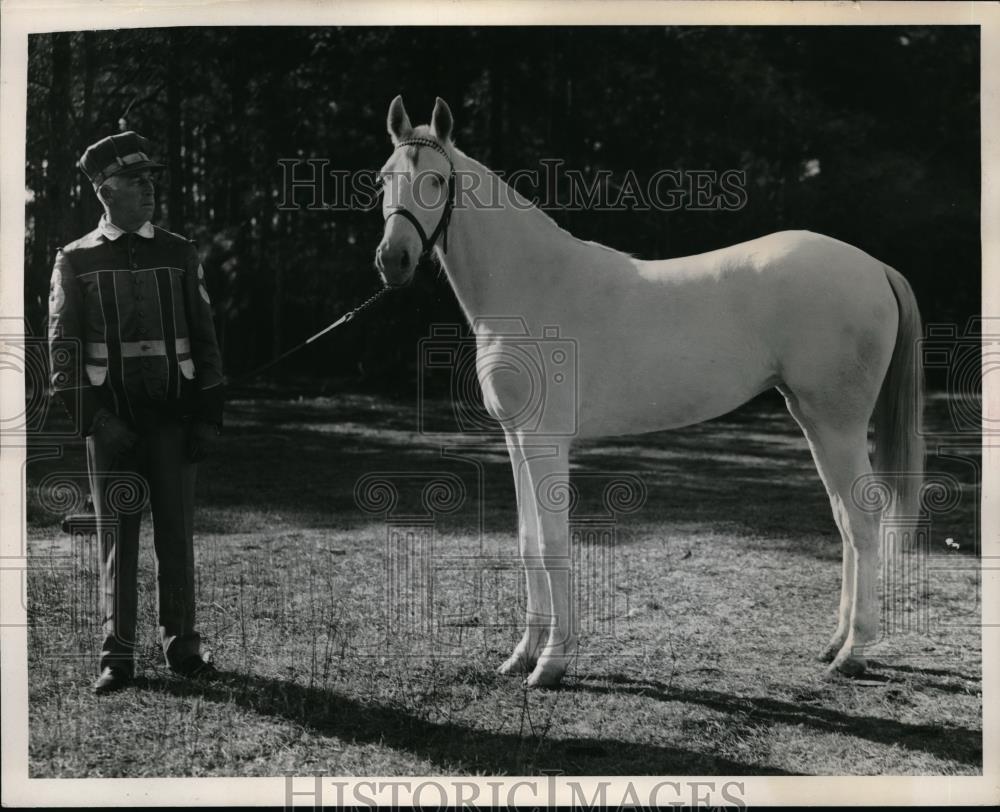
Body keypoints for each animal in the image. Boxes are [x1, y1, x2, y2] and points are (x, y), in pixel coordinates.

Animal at [374, 98, 920, 688]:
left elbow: (553, 543)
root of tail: (874, 267)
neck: (534, 285)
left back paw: (854, 653)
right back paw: (835, 643)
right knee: (845, 520)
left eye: (435, 179)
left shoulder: (546, 440)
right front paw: (520, 654)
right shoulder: (516, 437)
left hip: (838, 424)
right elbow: (527, 543)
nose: (392, 260)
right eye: (384, 178)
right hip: (813, 420)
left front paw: (551, 663)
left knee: (863, 520)